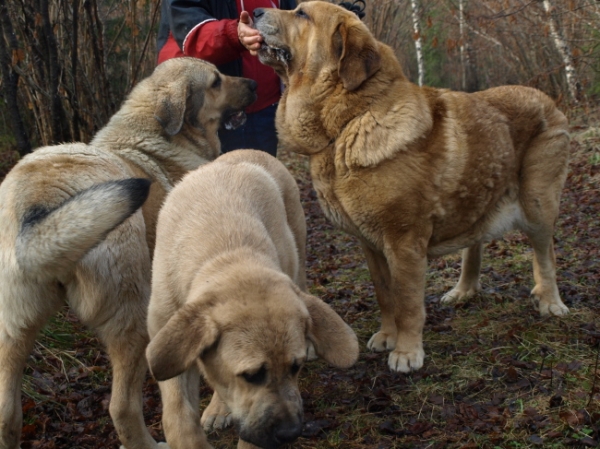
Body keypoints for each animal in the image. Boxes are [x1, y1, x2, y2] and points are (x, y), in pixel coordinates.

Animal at [0, 58, 255, 448]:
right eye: (216, 81)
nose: (255, 84)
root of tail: (40, 197)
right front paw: (219, 411)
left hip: (15, 330)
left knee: (7, 414)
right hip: (132, 315)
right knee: (120, 407)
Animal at [145, 150, 360, 448]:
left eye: (296, 367)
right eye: (252, 375)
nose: (290, 433)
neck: (227, 251)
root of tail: (251, 150)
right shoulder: (167, 340)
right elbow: (179, 417)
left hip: (298, 255)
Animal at [254, 2, 572, 372]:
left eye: (302, 14)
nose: (255, 11)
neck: (352, 118)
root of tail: (547, 98)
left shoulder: (403, 241)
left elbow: (406, 302)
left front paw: (406, 352)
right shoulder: (371, 245)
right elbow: (385, 294)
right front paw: (387, 337)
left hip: (537, 203)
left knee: (545, 253)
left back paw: (550, 301)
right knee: (474, 243)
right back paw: (463, 290)